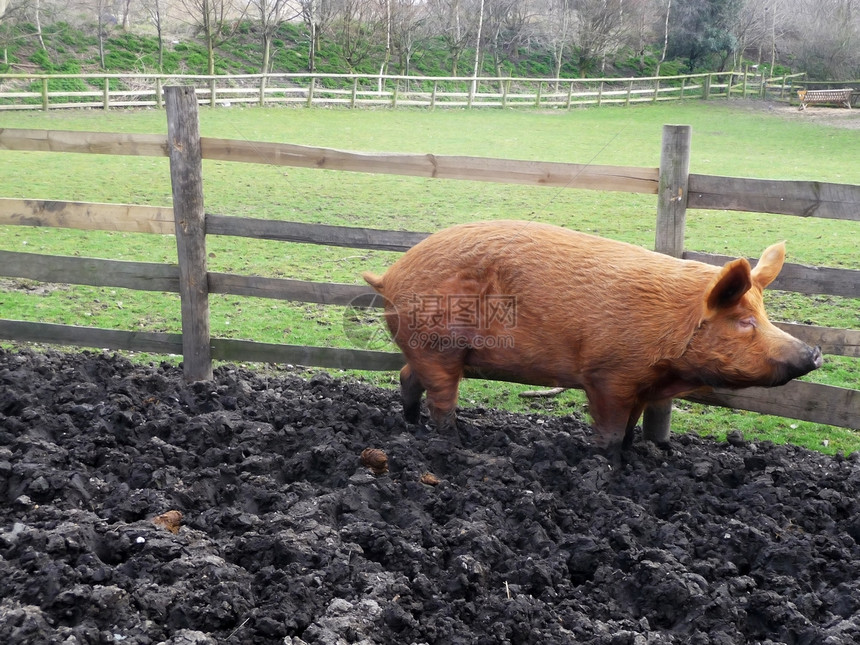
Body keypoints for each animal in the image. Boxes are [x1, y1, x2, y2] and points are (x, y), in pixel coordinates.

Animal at [362, 220, 820, 448]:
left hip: (428, 349)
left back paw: (411, 427)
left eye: (764, 314)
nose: (814, 352)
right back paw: (454, 441)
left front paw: (634, 458)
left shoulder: (640, 385)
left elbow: (631, 431)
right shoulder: (608, 375)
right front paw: (606, 466)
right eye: (744, 321)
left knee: (407, 378)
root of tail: (390, 274)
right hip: (439, 346)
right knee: (441, 398)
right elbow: (610, 432)